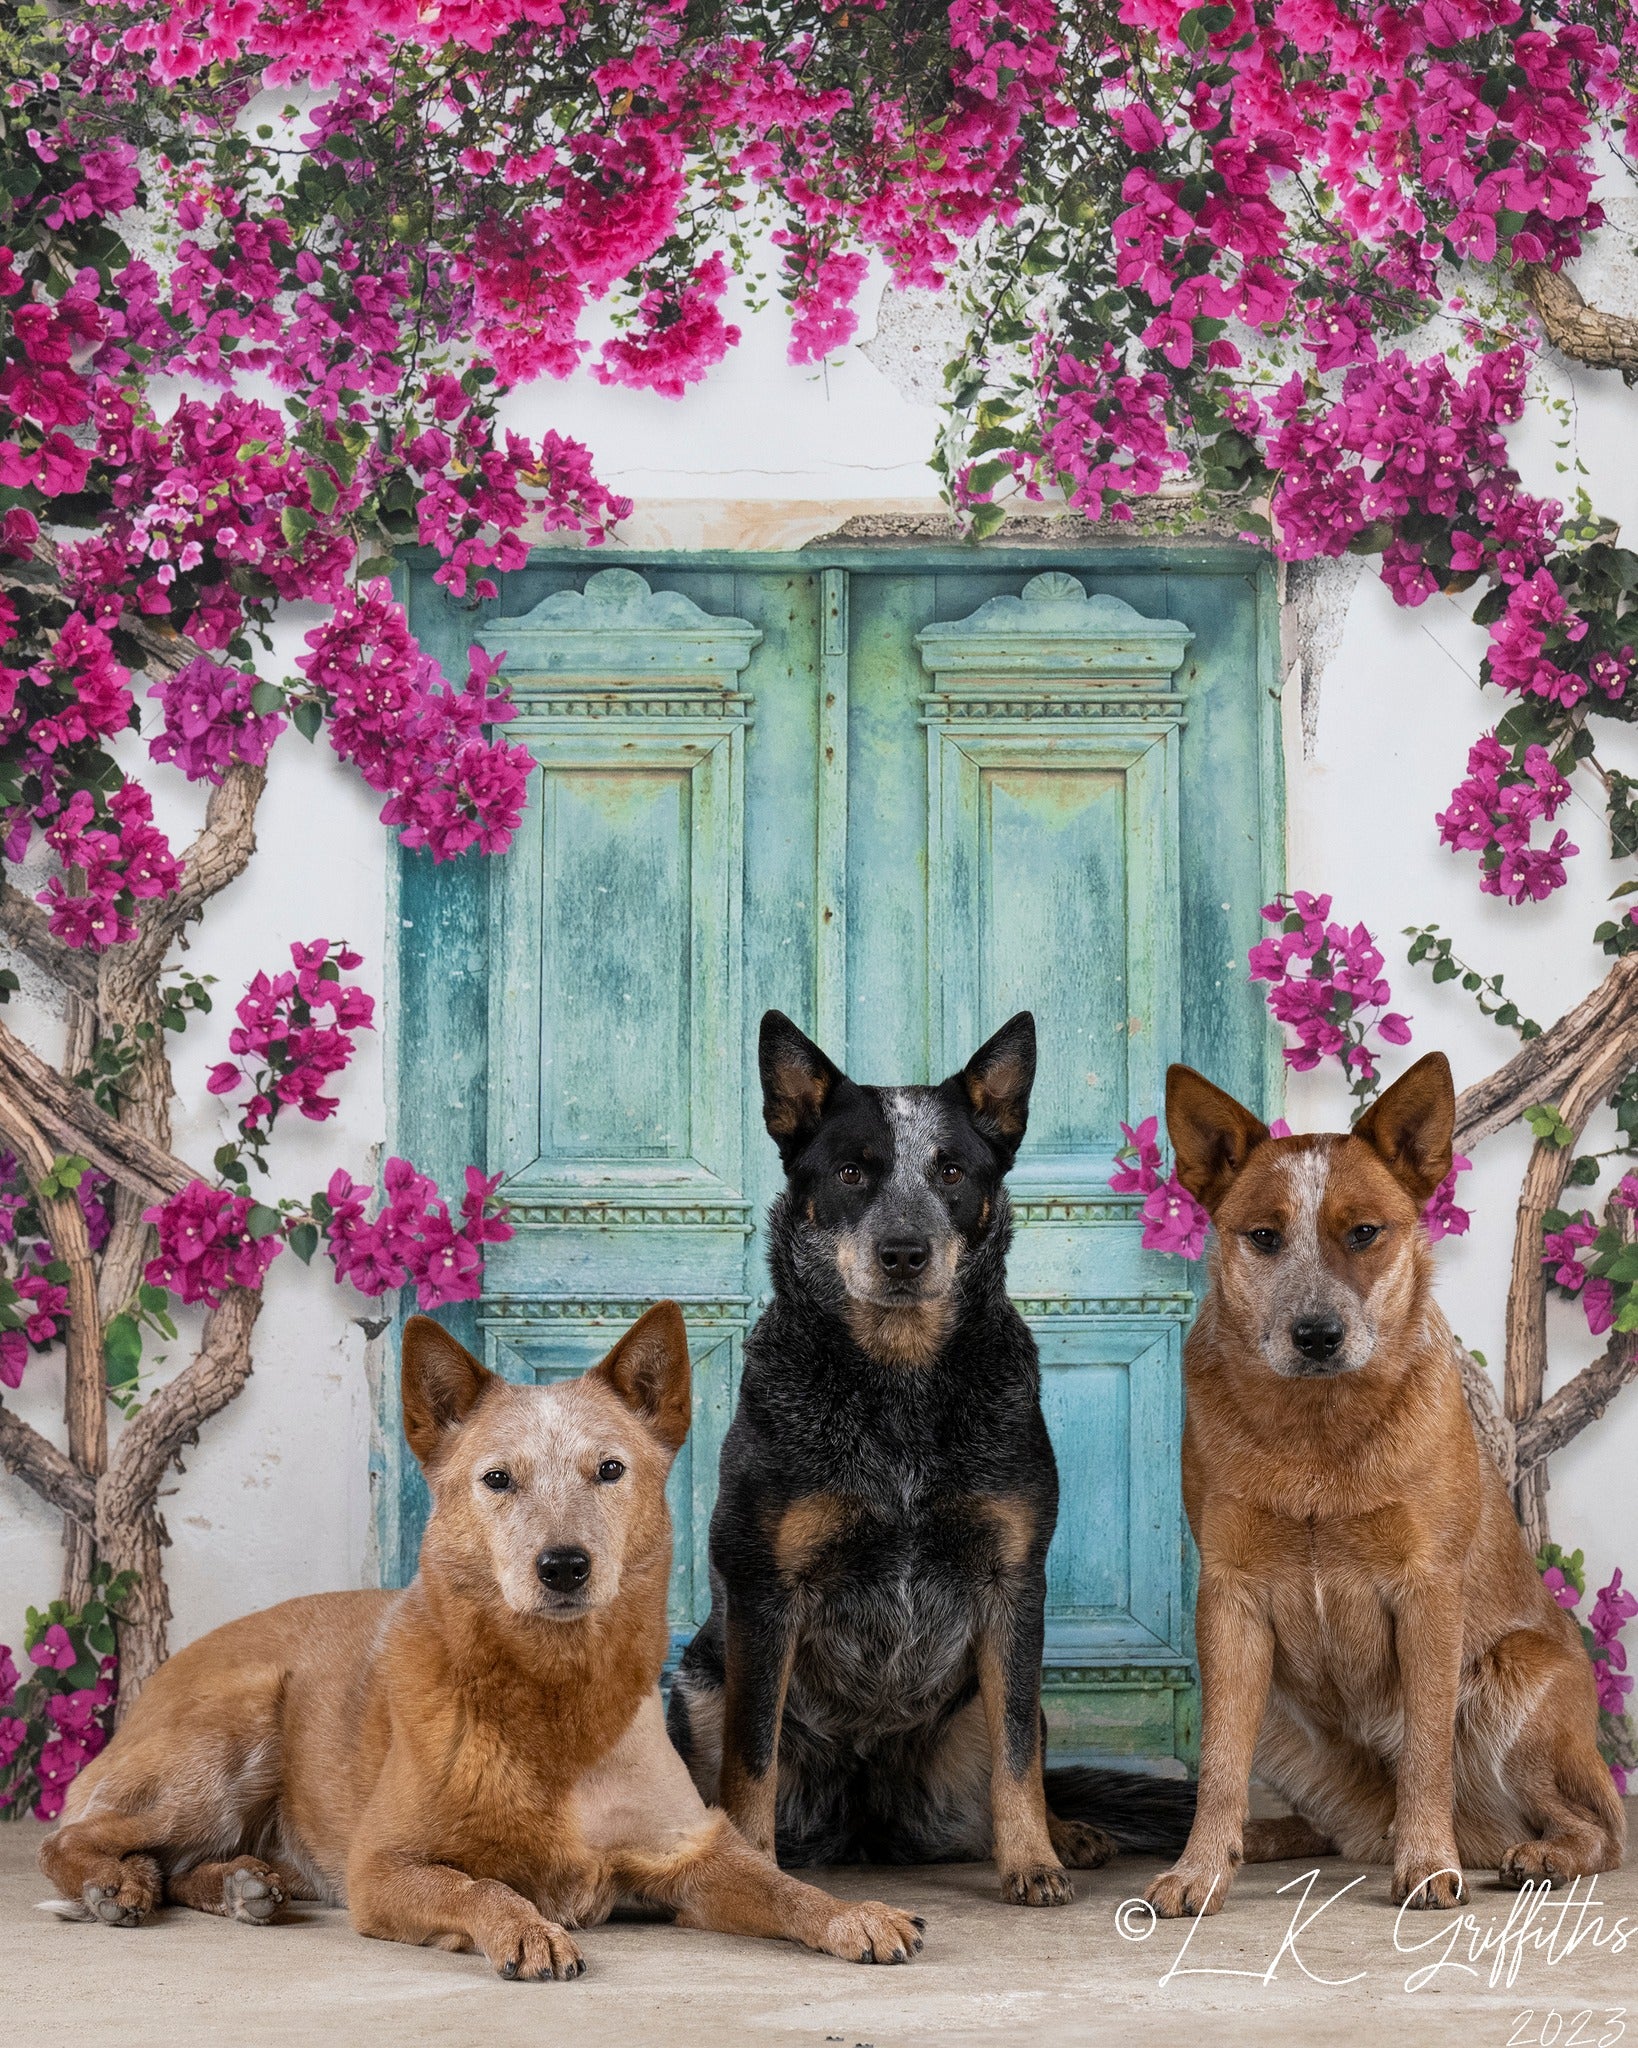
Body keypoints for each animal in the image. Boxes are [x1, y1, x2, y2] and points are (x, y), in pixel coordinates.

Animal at [41, 1302, 921, 1974]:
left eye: (610, 1470)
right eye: (498, 1479)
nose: (563, 1565)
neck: (555, 1700)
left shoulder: (690, 1853)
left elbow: (783, 1886)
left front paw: (853, 1913)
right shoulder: (385, 1868)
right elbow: (480, 1886)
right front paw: (527, 1928)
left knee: (177, 1863)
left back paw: (236, 1886)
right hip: (230, 1736)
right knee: (73, 1837)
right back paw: (115, 1886)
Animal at [663, 1007, 1187, 1900]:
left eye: (950, 1171)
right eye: (849, 1172)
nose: (904, 1250)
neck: (899, 1385)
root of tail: (865, 1820)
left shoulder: (1013, 1584)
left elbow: (1017, 1756)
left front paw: (1033, 1860)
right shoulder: (765, 1588)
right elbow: (750, 1758)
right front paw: (758, 1873)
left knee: (1023, 1756)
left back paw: (1067, 1834)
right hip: (694, 1681)